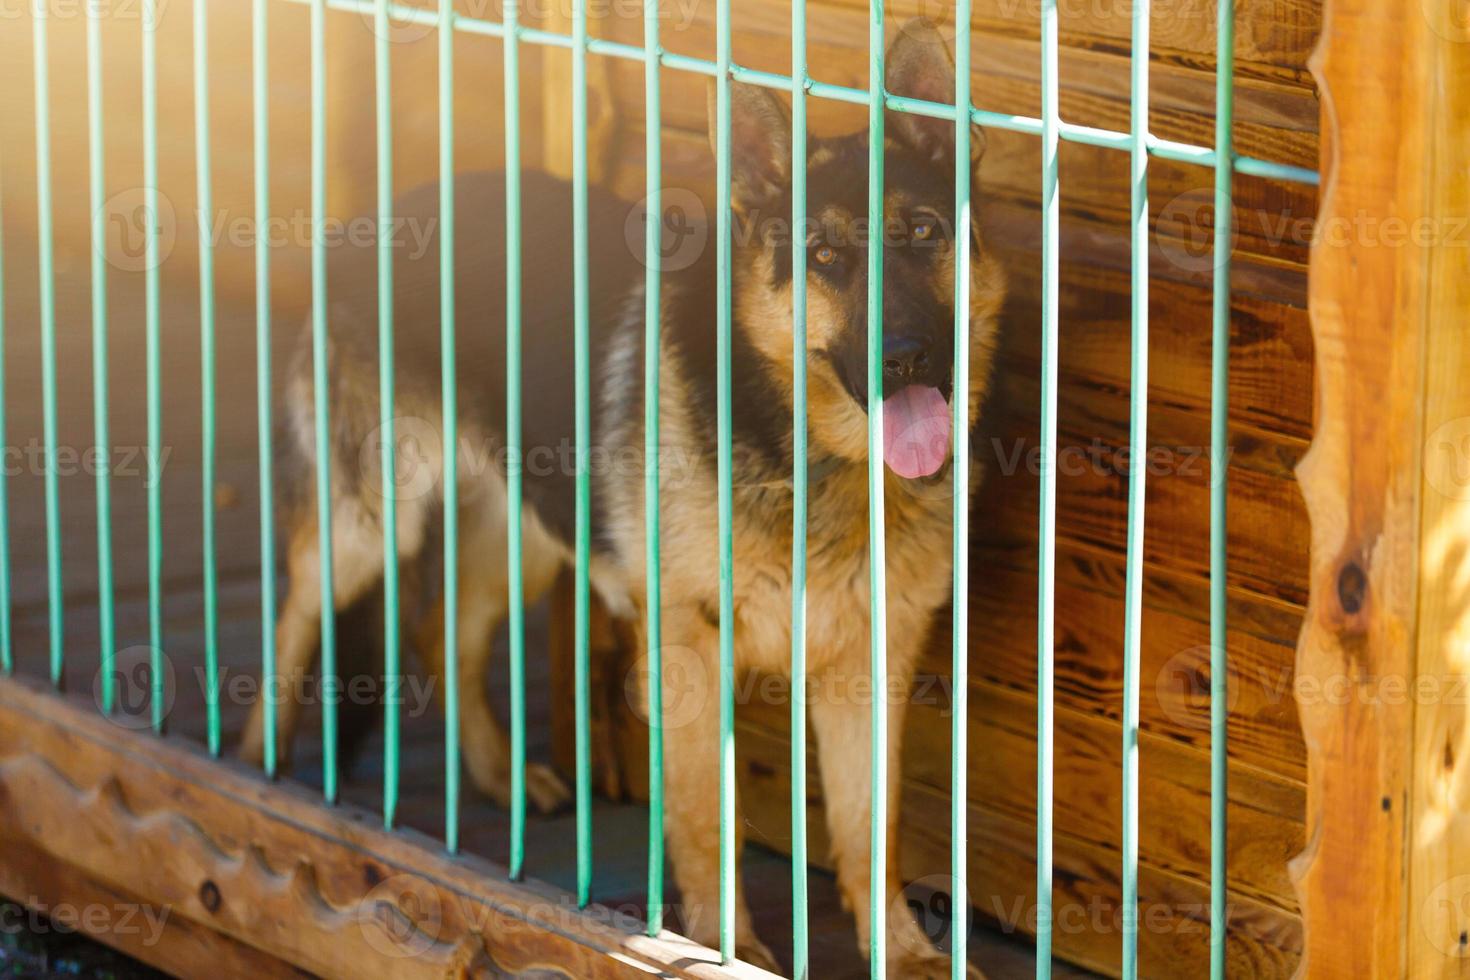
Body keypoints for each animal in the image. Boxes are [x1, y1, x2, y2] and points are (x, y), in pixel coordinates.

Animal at [238, 17, 1011, 980]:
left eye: (924, 231)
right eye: (826, 258)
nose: (905, 357)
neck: (813, 455)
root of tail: (388, 211)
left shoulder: (868, 668)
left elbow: (875, 828)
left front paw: (902, 953)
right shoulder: (688, 658)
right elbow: (707, 823)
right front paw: (723, 949)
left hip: (528, 535)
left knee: (441, 631)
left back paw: (500, 780)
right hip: (368, 528)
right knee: (295, 621)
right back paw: (249, 774)